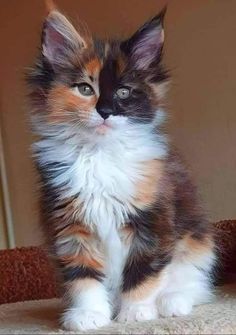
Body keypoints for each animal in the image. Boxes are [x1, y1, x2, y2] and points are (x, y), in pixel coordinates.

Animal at [27, 3, 216, 332]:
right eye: (85, 89)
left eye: (124, 92)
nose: (105, 111)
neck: (99, 155)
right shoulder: (70, 224)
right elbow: (83, 275)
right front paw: (90, 314)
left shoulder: (151, 219)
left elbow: (143, 270)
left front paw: (136, 311)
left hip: (196, 243)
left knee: (193, 283)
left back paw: (172, 302)